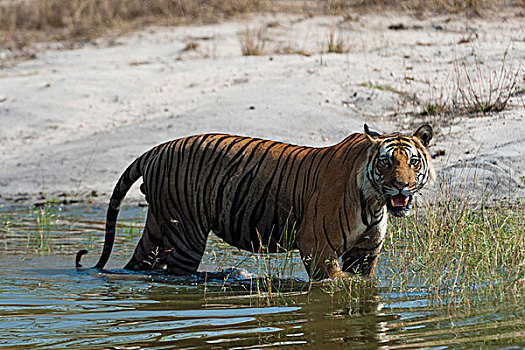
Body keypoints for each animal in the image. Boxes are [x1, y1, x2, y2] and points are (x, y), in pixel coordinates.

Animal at [74, 124, 434, 280]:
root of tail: (155, 149)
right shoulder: (317, 246)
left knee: (141, 263)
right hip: (187, 231)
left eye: (413, 162)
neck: (373, 201)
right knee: (176, 272)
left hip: (158, 227)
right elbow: (335, 283)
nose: (401, 185)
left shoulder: (364, 254)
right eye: (386, 163)